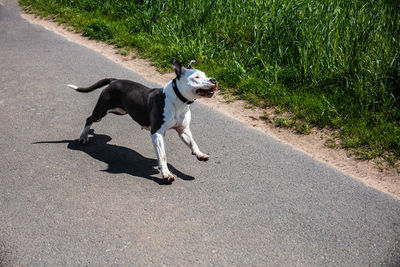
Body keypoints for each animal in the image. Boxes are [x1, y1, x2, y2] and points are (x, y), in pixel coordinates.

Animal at [68, 59, 219, 183]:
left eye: (205, 74)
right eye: (196, 77)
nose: (214, 79)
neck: (179, 101)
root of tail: (114, 80)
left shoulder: (183, 130)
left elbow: (193, 142)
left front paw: (200, 154)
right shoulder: (157, 133)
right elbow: (162, 156)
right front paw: (166, 174)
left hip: (119, 111)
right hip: (102, 110)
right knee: (89, 119)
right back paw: (83, 136)